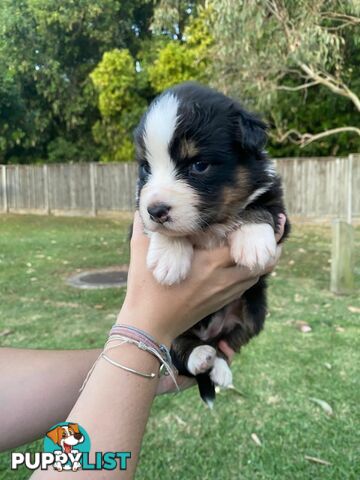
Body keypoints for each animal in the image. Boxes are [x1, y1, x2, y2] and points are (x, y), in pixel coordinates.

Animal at [134, 81, 290, 404]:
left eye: (199, 165)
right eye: (145, 168)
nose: (156, 210)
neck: (211, 224)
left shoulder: (279, 209)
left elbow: (260, 207)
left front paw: (253, 244)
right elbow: (159, 230)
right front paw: (169, 258)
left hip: (254, 312)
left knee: (223, 345)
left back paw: (218, 368)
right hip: (173, 328)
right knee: (178, 351)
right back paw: (199, 358)